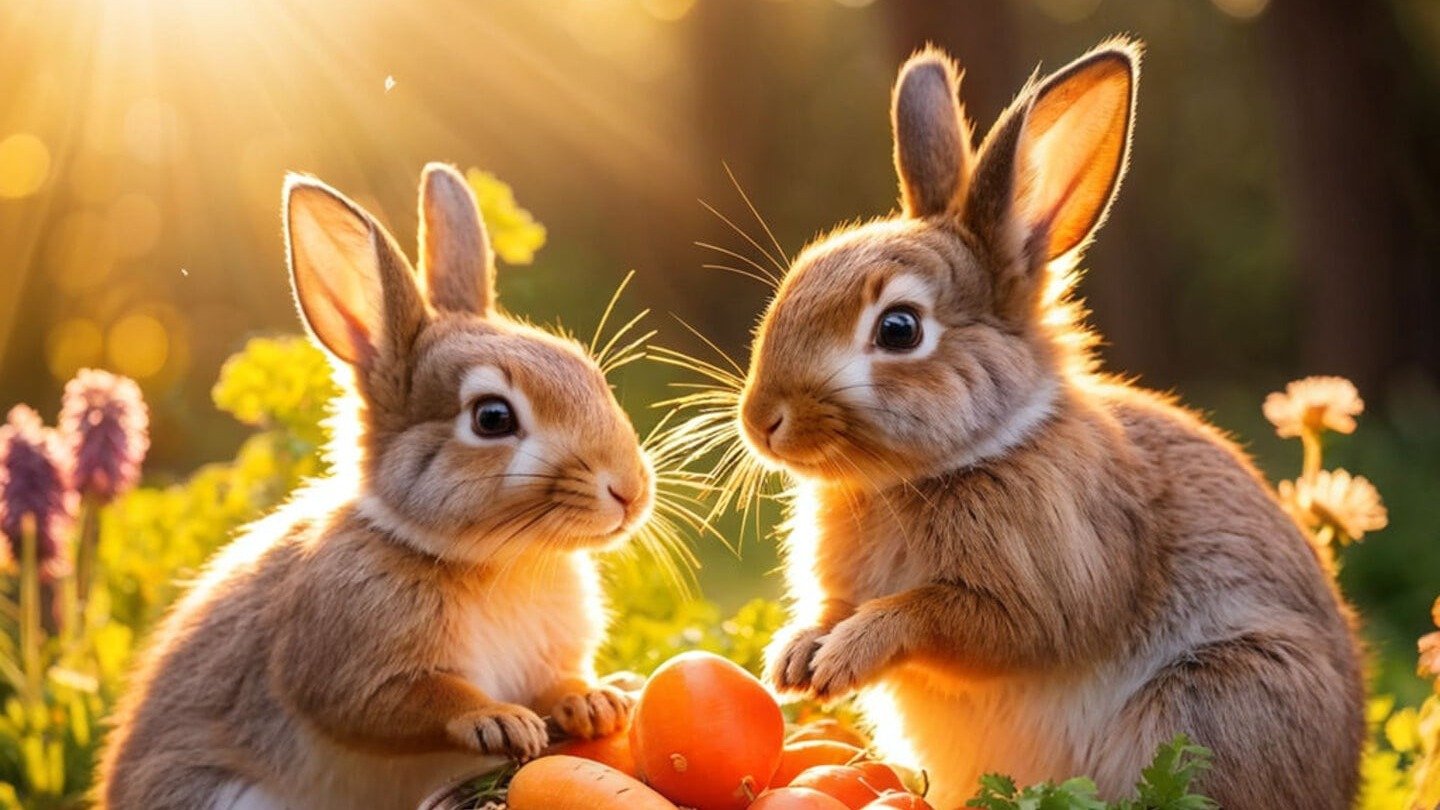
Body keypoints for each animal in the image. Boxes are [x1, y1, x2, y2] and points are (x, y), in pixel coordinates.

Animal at [96, 164, 654, 810]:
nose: (630, 490)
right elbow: (414, 702)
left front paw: (594, 703)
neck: (495, 560)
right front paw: (498, 721)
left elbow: (558, 682)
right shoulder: (348, 670)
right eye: (492, 418)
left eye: (589, 371)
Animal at [737, 40, 1364, 809]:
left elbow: (938, 616)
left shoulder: (1043, 588)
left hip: (1220, 698)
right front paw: (796, 656)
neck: (950, 464)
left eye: (898, 329)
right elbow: (835, 607)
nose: (761, 420)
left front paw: (845, 655)